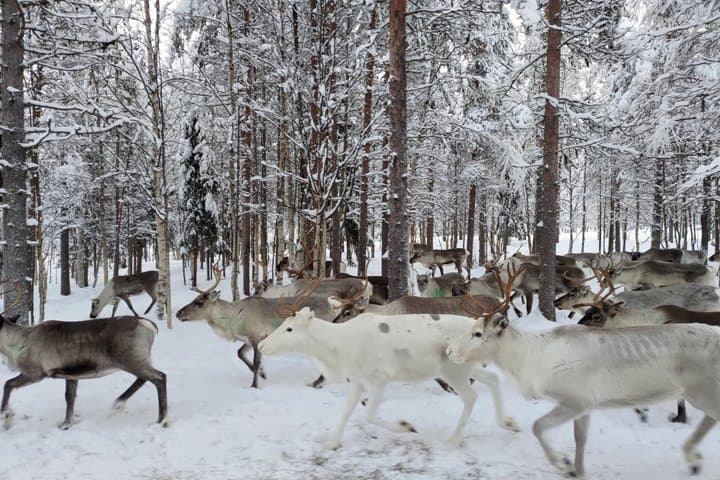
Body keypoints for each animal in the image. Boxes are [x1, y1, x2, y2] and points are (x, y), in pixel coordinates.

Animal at [0, 313, 167, 430]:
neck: (15, 344)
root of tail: (149, 325)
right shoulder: (71, 375)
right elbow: (69, 397)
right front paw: (67, 423)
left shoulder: (35, 373)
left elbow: (8, 384)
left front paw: (6, 415)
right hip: (136, 361)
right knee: (144, 379)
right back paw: (119, 403)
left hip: (131, 360)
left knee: (159, 377)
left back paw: (161, 420)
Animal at [256, 268, 527, 450]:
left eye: (290, 329)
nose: (261, 344)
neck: (337, 349)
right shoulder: (357, 380)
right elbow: (346, 412)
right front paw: (332, 442)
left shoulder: (379, 379)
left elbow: (368, 414)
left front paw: (406, 426)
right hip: (466, 366)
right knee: (492, 379)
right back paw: (508, 422)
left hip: (454, 371)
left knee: (471, 396)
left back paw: (453, 439)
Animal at [447, 267, 720, 478]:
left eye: (478, 334)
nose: (450, 350)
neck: (528, 358)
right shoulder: (587, 404)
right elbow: (580, 439)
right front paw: (577, 470)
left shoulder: (575, 399)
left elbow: (538, 427)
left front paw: (562, 464)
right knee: (709, 419)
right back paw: (693, 459)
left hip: (703, 390)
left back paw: (692, 456)